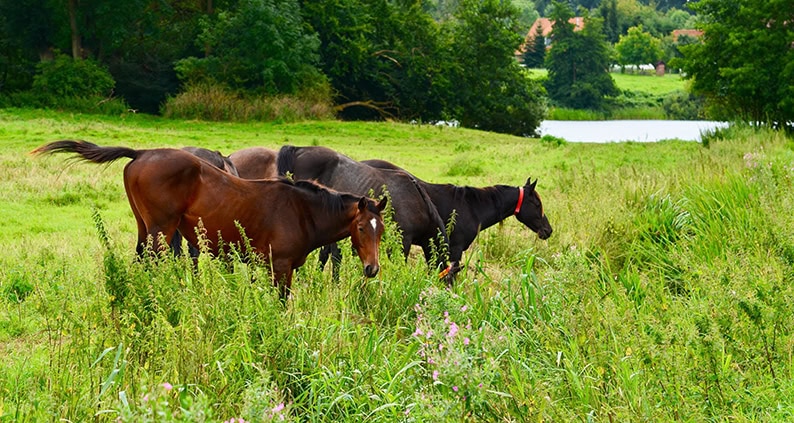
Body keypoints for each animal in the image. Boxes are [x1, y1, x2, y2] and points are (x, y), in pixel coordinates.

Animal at [32, 141, 386, 300]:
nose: (372, 269)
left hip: (144, 228)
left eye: (380, 231)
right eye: (360, 228)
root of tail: (141, 153)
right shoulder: (280, 267)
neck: (301, 210)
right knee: (154, 263)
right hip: (161, 231)